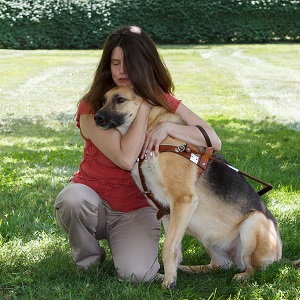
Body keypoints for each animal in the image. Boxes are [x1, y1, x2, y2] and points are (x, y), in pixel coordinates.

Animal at [94, 86, 282, 288]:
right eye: (103, 100)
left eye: (120, 100)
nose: (96, 117)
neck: (150, 129)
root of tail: (280, 255)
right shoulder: (167, 211)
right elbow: (174, 249)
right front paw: (172, 275)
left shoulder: (183, 200)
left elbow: (168, 247)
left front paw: (168, 282)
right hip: (210, 238)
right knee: (220, 265)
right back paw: (192, 269)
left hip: (253, 221)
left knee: (254, 268)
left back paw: (243, 276)